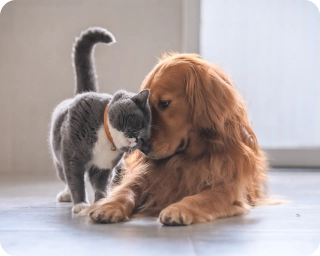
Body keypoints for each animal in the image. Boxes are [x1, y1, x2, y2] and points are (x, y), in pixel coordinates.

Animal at [49, 27, 151, 213]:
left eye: (146, 137)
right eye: (140, 124)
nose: (139, 138)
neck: (106, 137)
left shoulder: (104, 166)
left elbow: (100, 184)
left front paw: (103, 201)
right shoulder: (72, 157)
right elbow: (75, 180)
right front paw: (80, 204)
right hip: (59, 158)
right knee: (65, 177)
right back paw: (66, 195)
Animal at [85, 53, 268, 225]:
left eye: (165, 103)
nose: (142, 148)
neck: (188, 157)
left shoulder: (227, 189)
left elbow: (201, 198)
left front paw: (178, 209)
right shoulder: (143, 176)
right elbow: (126, 190)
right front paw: (108, 206)